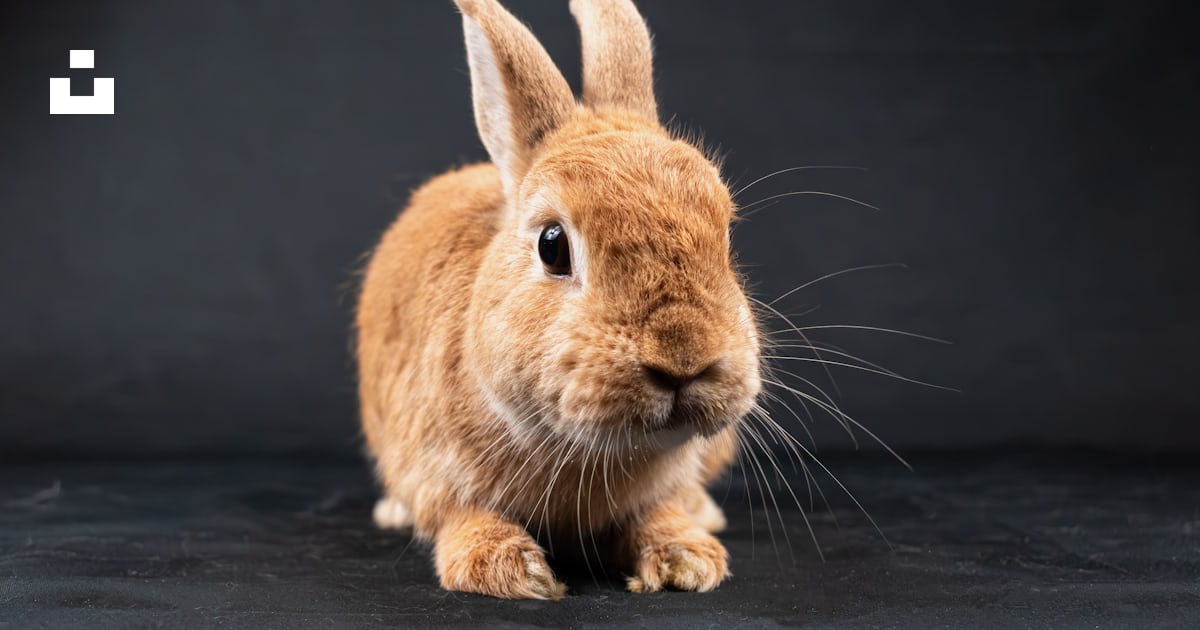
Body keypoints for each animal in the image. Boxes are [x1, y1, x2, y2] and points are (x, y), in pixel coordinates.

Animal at [356, 0, 762, 600]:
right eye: (553, 245)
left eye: (726, 235)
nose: (684, 359)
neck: (584, 450)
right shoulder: (430, 467)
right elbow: (461, 515)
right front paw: (512, 570)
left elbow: (659, 512)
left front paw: (686, 558)